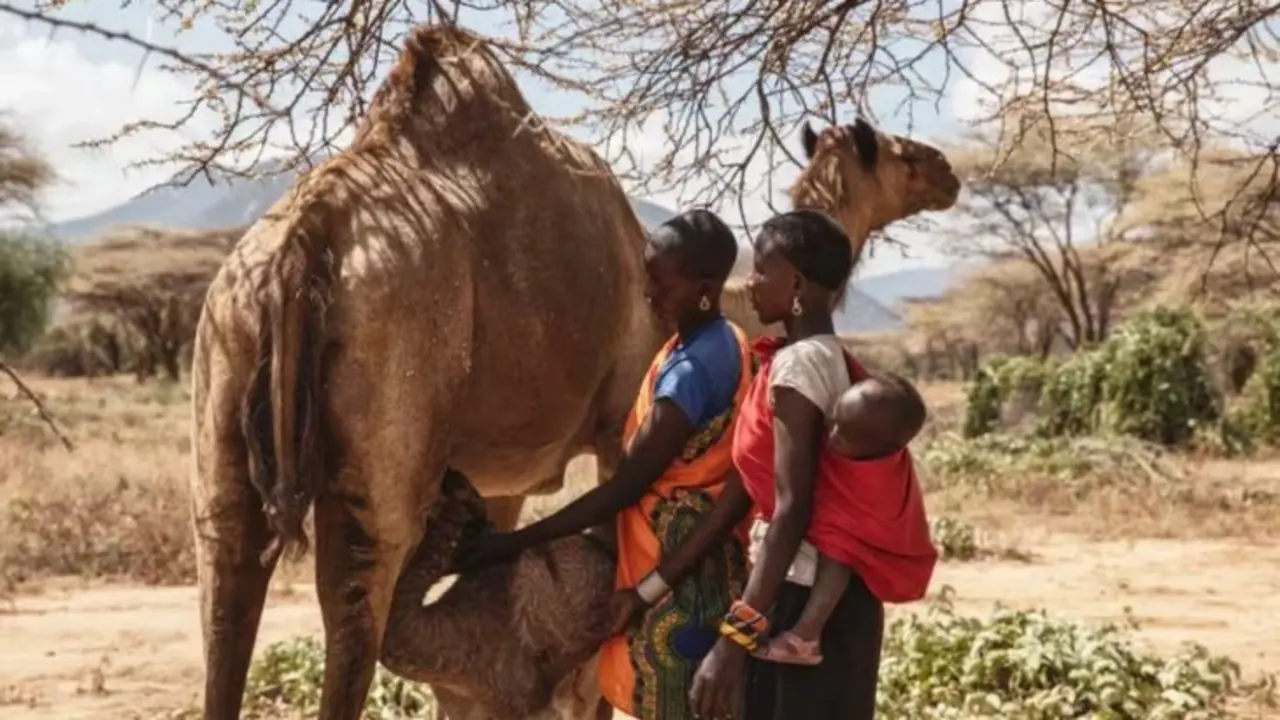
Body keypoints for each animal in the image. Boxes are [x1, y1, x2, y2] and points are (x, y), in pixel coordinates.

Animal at [188, 20, 959, 720]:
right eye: (897, 152)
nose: (949, 170)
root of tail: (306, 237)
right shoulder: (623, 422)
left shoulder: (498, 476)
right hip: (388, 395)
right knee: (354, 603)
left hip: (224, 351)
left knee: (227, 576)